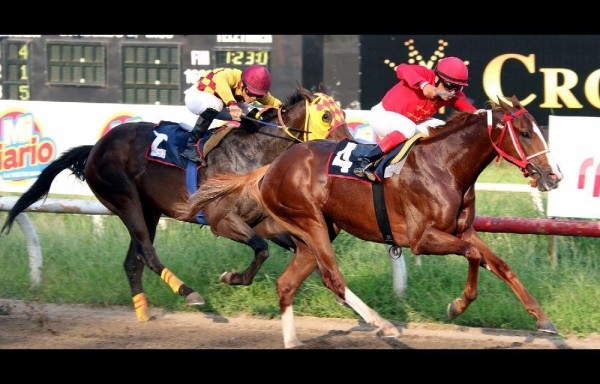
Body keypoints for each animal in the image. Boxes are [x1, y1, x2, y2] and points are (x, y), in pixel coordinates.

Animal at [2, 86, 354, 320]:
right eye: (326, 115)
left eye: (344, 114)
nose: (349, 146)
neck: (252, 154)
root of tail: (96, 147)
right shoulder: (221, 220)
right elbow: (262, 250)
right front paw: (232, 278)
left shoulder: (262, 222)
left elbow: (300, 249)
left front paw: (342, 296)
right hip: (125, 200)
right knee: (147, 253)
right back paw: (189, 294)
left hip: (150, 209)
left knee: (133, 261)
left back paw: (143, 314)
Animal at [190, 97, 564, 348]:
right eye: (525, 132)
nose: (553, 176)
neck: (446, 165)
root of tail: (271, 167)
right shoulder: (422, 239)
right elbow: (472, 256)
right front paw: (457, 306)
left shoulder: (464, 231)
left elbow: (500, 265)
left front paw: (544, 319)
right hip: (309, 221)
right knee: (333, 279)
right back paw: (382, 324)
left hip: (316, 231)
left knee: (286, 284)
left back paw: (292, 337)